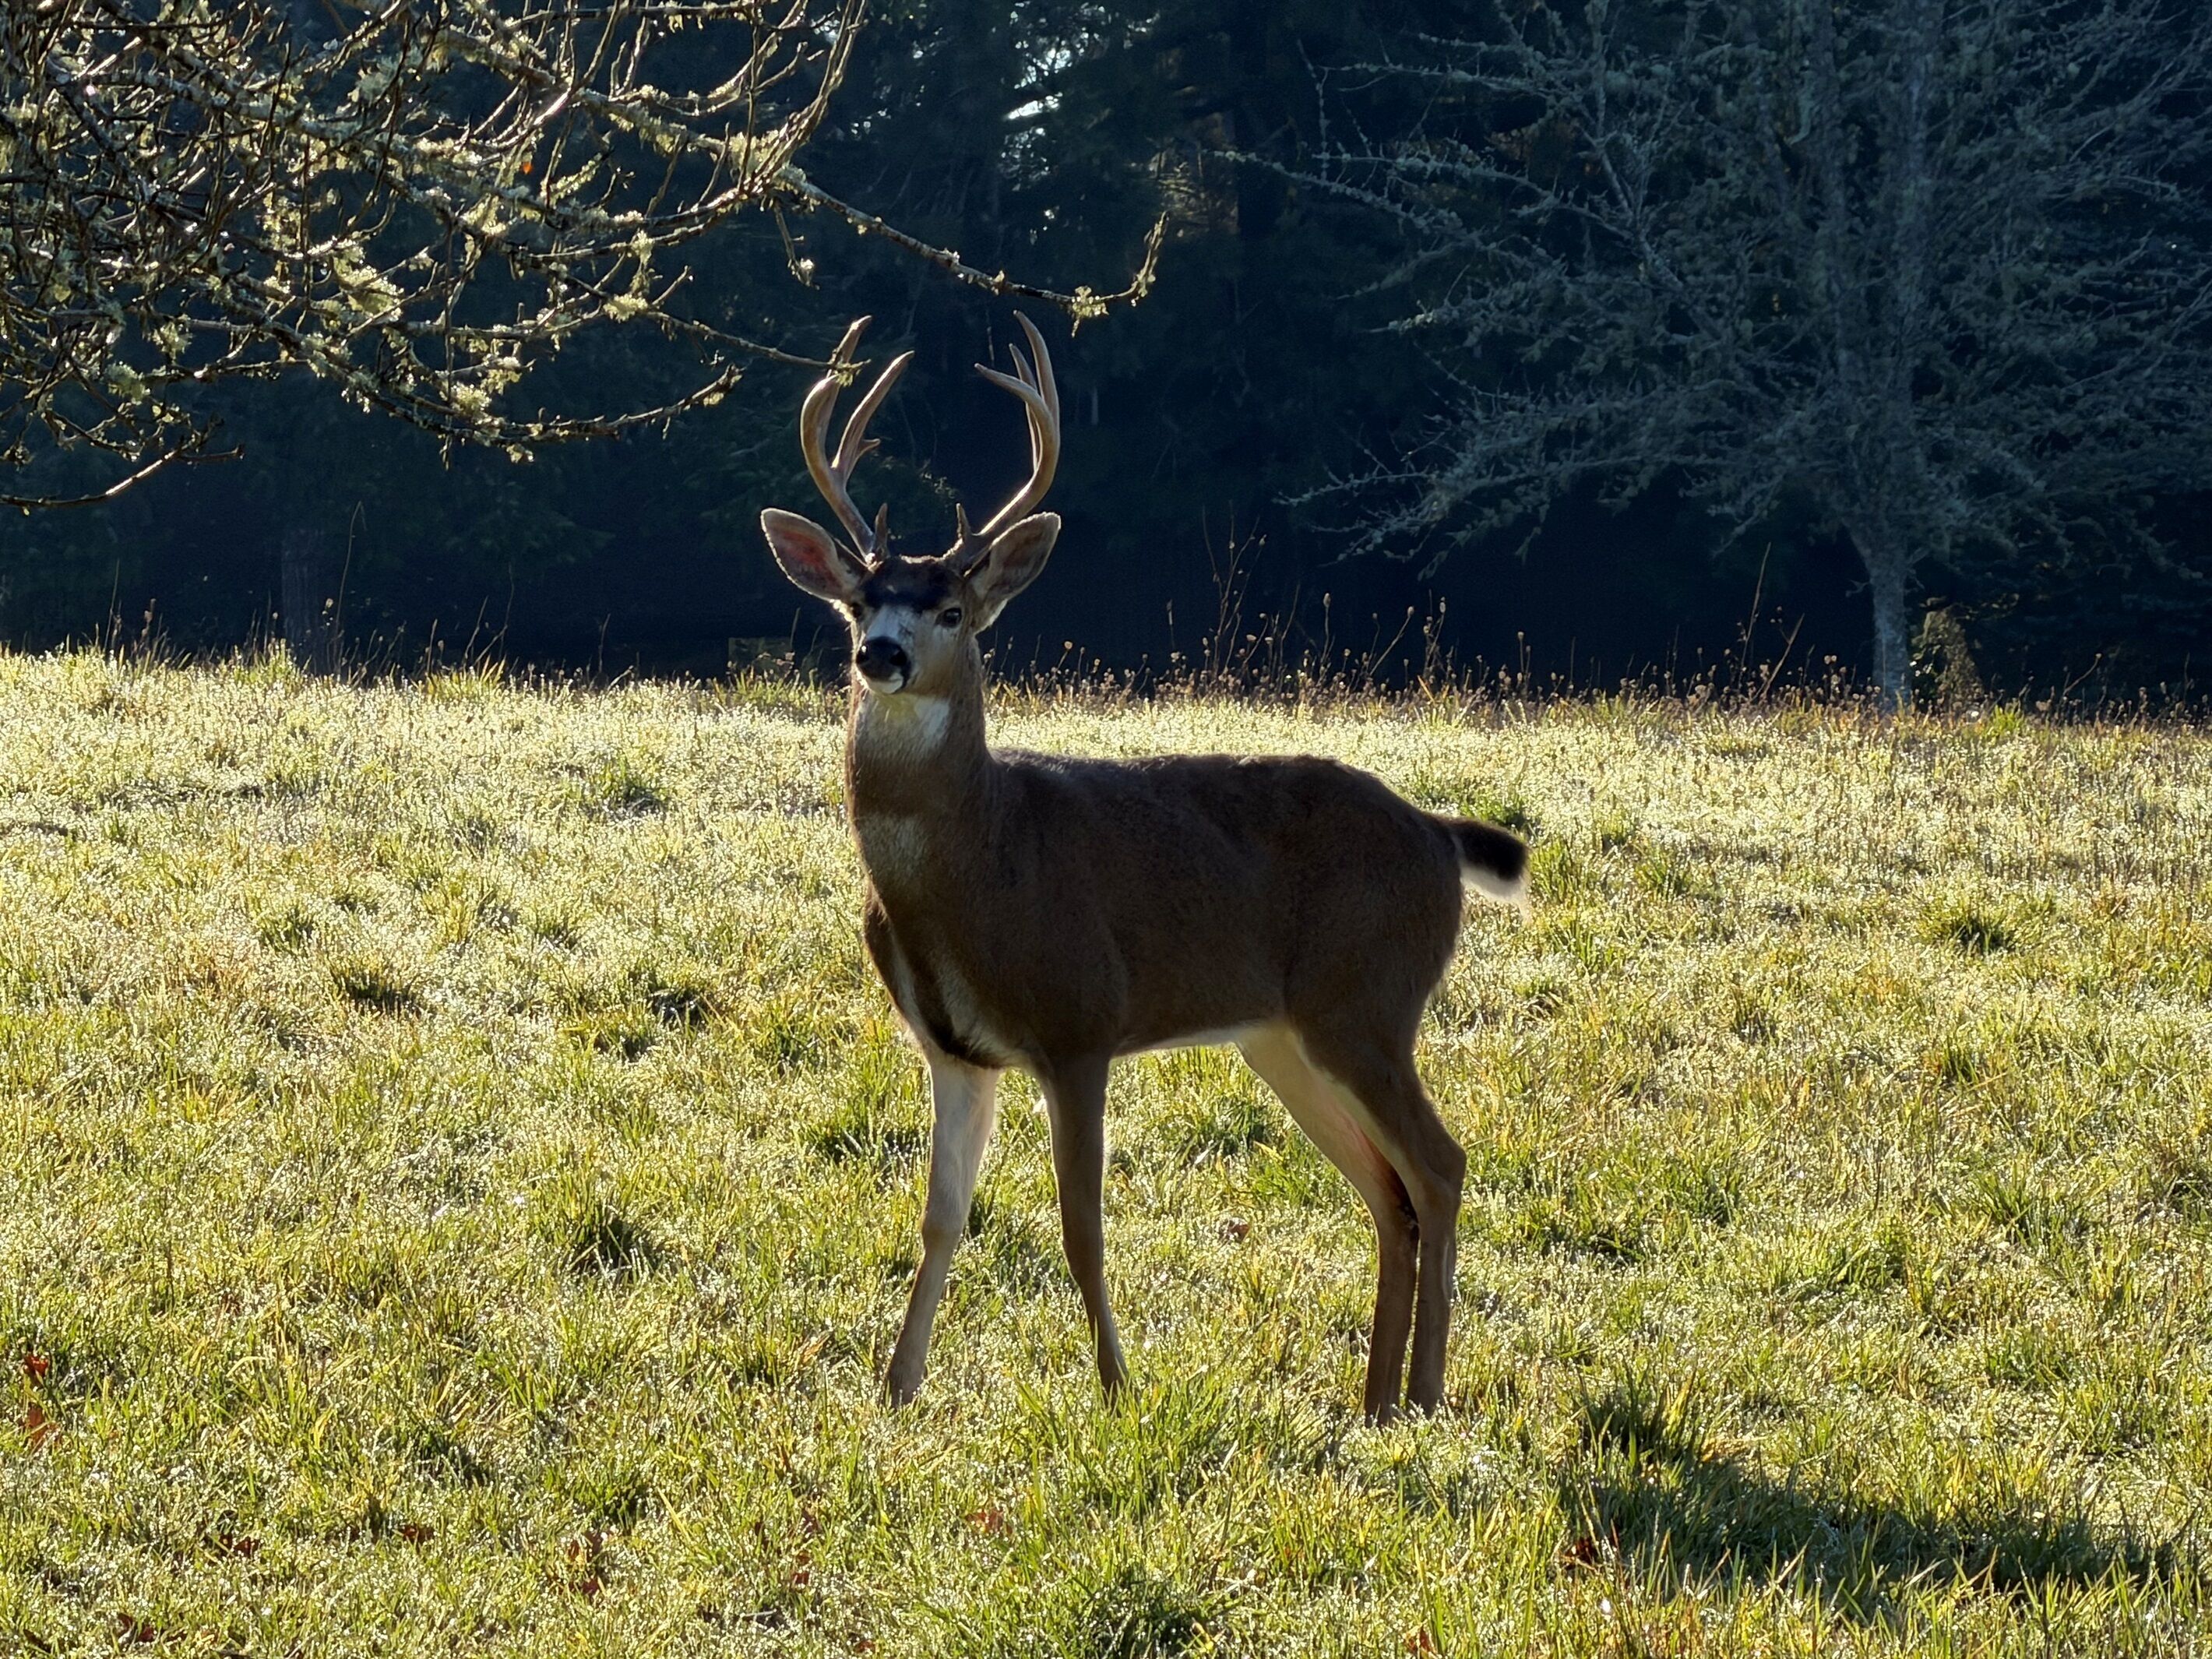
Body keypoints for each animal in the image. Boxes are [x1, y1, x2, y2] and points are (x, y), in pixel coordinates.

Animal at [758, 315, 1529, 1422]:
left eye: (953, 610)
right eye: (859, 602)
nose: (882, 655)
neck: (976, 867)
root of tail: (1436, 834)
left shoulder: (1080, 1024)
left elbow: (1080, 1223)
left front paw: (1117, 1390)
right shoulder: (951, 1050)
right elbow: (940, 1216)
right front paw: (896, 1390)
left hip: (1369, 999)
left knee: (1439, 1166)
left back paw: (1422, 1395)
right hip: (1281, 1034)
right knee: (1386, 1190)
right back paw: (1371, 1401)